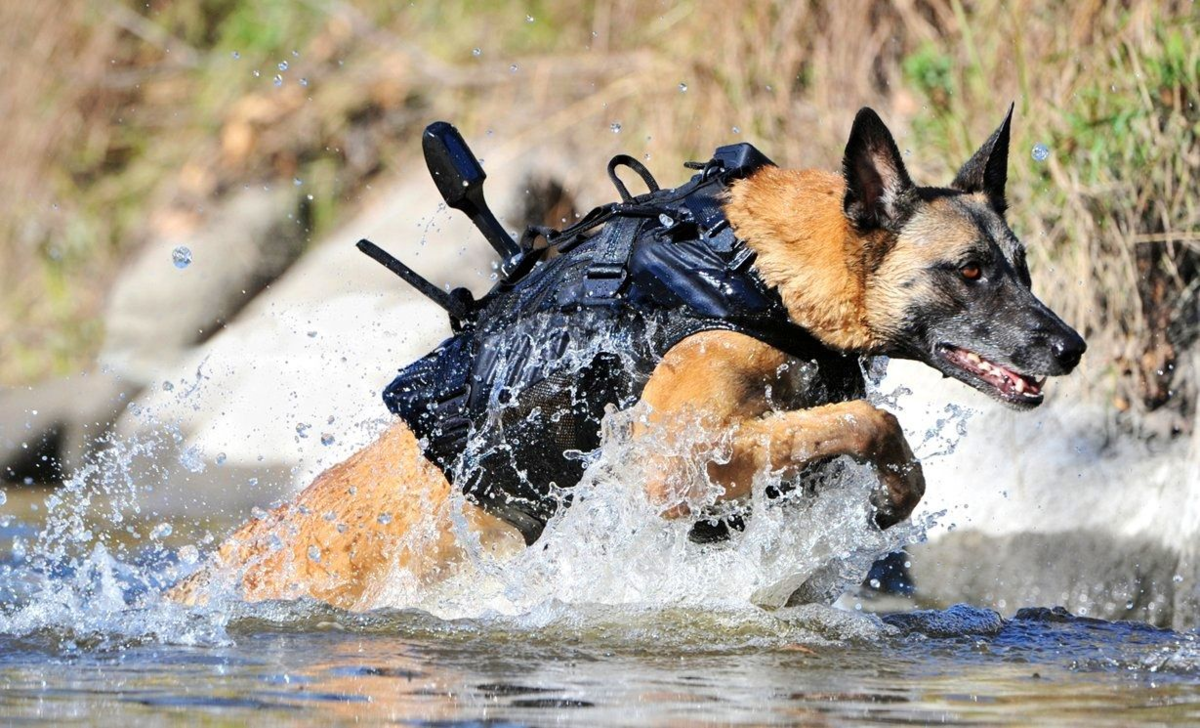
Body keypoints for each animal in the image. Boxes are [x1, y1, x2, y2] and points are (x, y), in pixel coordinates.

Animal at [171, 107, 1089, 609]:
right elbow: (873, 417)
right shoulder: (673, 461)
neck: (755, 270)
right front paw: (894, 492)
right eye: (969, 272)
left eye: (1023, 268)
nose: (1072, 347)